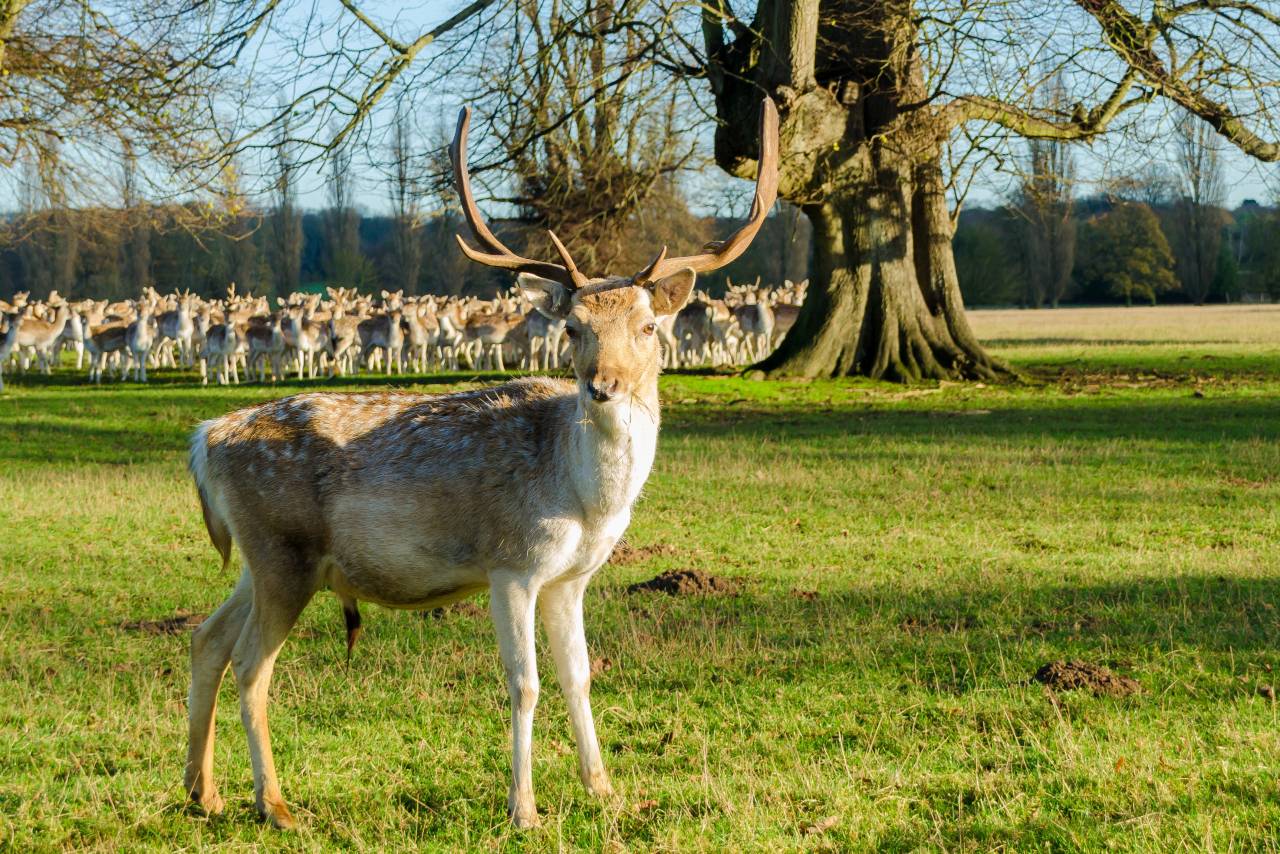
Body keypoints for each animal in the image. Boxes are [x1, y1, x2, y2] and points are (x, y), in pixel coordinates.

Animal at [181, 98, 777, 832]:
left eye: (647, 327)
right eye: (573, 328)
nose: (602, 386)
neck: (585, 499)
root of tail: (205, 438)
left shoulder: (569, 579)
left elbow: (578, 675)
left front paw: (603, 788)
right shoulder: (511, 564)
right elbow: (524, 684)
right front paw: (524, 808)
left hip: (267, 559)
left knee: (206, 639)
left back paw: (203, 791)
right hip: (281, 553)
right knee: (249, 666)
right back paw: (274, 805)